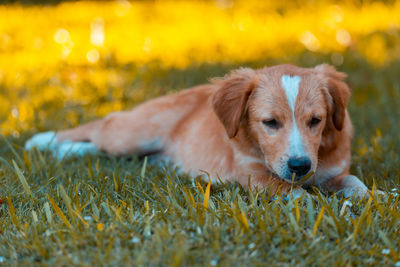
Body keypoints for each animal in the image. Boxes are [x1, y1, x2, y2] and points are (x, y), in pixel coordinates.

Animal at [25, 63, 372, 199]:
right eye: (270, 123)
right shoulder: (253, 174)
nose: (300, 166)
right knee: (103, 125)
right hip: (132, 134)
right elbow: (295, 193)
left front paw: (373, 199)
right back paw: (46, 141)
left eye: (316, 121)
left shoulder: (334, 172)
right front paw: (324, 206)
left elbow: (354, 183)